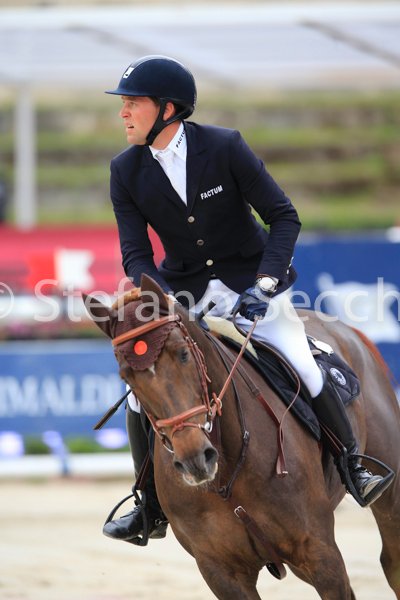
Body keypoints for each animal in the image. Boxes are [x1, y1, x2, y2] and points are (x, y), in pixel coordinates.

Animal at [84, 274, 400, 600]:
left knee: (392, 562)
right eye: (126, 377)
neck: (227, 474)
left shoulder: (320, 555)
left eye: (183, 353)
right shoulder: (221, 572)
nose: (195, 460)